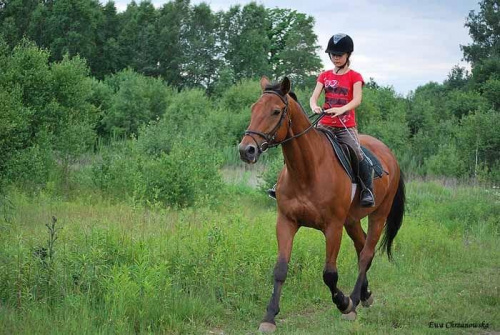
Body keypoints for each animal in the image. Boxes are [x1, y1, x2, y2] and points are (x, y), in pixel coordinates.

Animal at [238, 77, 406, 334]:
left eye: (275, 111)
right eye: (253, 108)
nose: (246, 150)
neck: (307, 171)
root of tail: (390, 155)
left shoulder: (333, 227)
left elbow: (329, 274)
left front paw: (343, 303)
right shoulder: (286, 222)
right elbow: (280, 269)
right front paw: (269, 317)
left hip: (378, 215)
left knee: (366, 254)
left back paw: (354, 301)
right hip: (352, 220)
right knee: (361, 247)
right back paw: (365, 295)